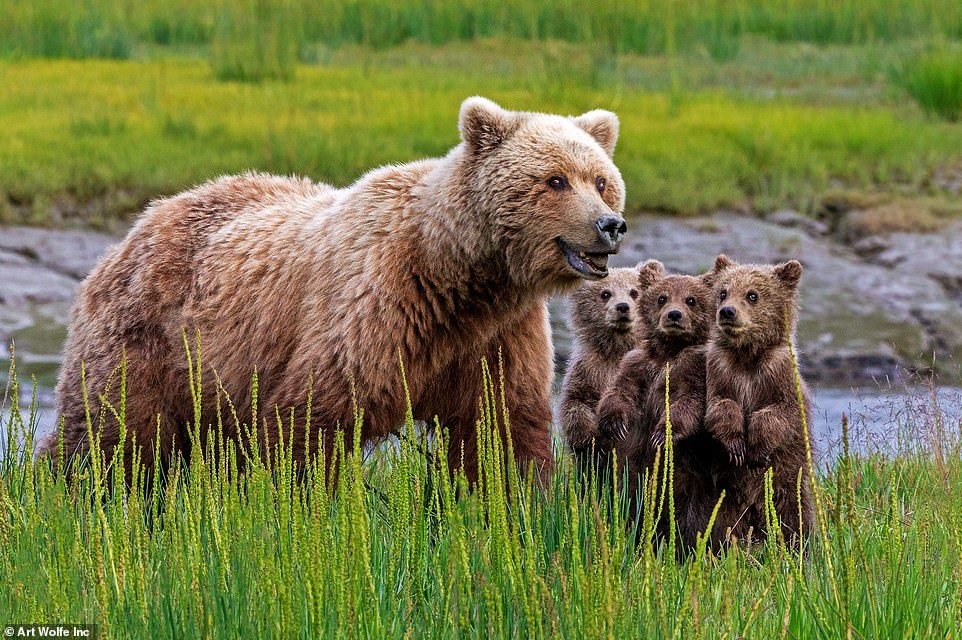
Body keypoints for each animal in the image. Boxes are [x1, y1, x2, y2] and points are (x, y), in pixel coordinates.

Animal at [41, 97, 632, 482]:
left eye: (602, 180)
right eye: (555, 180)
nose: (610, 225)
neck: (460, 276)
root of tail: (138, 225)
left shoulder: (498, 333)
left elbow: (503, 428)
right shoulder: (377, 305)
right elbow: (311, 420)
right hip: (148, 338)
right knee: (105, 429)